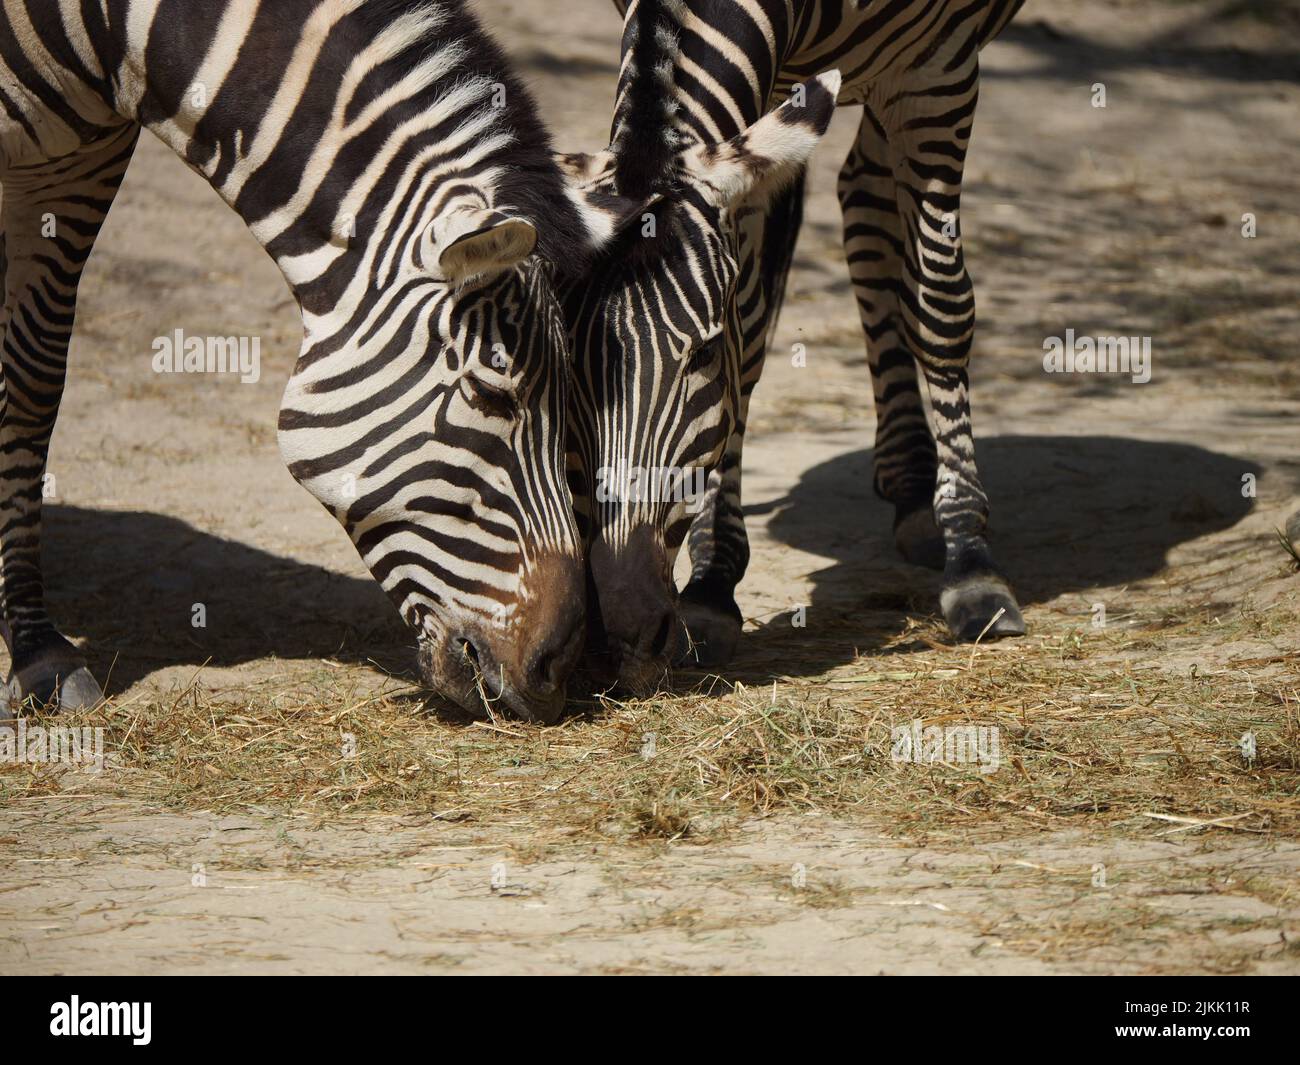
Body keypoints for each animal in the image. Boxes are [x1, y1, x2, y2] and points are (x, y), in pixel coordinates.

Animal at [0, 0, 647, 723]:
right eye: (492, 394)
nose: (556, 671)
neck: (108, 31)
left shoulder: (79, 161)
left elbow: (31, 377)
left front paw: (36, 650)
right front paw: (37, 652)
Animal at [564, 0, 1029, 691]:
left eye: (703, 354)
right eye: (572, 364)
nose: (623, 614)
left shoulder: (937, 73)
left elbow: (939, 306)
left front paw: (972, 564)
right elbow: (751, 327)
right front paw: (712, 583)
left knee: (875, 208)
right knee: (863, 195)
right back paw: (910, 483)